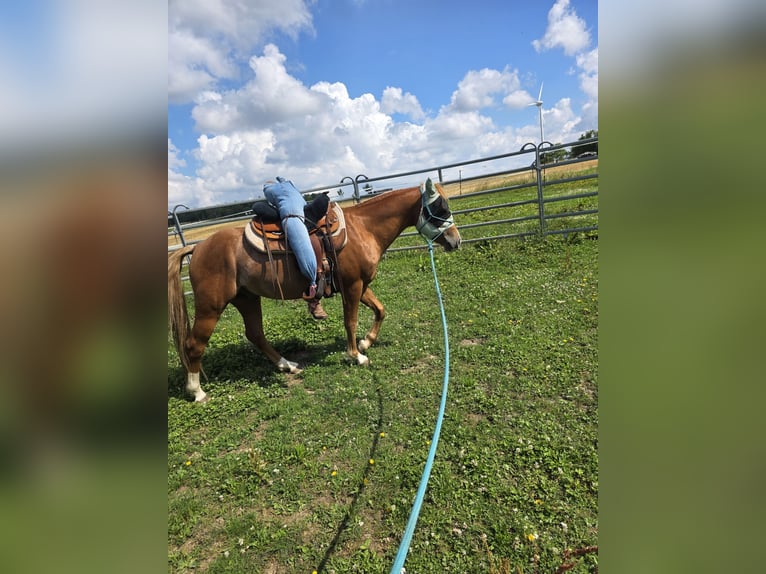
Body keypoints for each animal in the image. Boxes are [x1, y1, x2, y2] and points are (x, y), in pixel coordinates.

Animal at [168, 178, 461, 402]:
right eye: (441, 206)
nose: (455, 241)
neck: (362, 228)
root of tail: (197, 247)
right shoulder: (352, 286)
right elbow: (350, 321)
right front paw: (356, 355)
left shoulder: (360, 285)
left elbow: (380, 310)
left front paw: (366, 342)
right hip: (211, 306)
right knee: (194, 344)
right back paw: (196, 391)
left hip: (247, 298)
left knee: (256, 335)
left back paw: (287, 365)